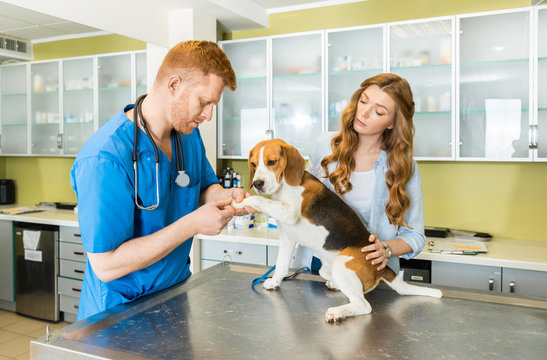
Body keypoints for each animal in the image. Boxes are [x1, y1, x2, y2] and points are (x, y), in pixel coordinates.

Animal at [233, 139, 444, 322]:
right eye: (253, 164)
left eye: (272, 162)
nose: (257, 183)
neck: (285, 185)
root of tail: (381, 267)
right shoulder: (287, 235)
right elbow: (281, 265)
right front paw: (275, 282)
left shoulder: (289, 212)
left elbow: (259, 199)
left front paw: (240, 201)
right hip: (327, 269)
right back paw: (335, 286)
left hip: (342, 264)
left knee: (363, 305)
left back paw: (338, 313)